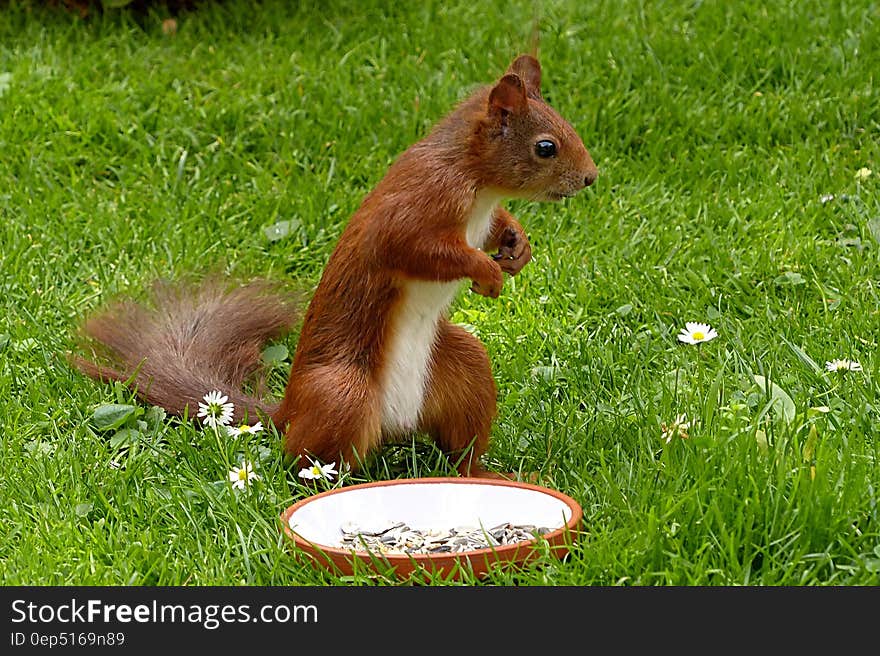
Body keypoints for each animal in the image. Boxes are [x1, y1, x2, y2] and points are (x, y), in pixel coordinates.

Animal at [77, 55, 600, 476]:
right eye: (546, 146)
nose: (591, 178)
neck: (476, 180)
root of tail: (285, 411)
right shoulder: (415, 209)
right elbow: (421, 250)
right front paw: (486, 271)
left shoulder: (482, 214)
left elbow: (497, 228)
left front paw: (517, 246)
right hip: (342, 392)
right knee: (310, 458)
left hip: (461, 370)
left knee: (461, 445)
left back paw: (484, 474)